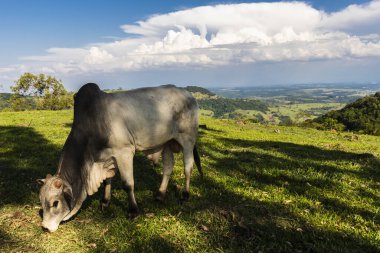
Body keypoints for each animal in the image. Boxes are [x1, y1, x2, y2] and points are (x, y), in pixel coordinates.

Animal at [37, 83, 202, 231]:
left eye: (55, 203)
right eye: (41, 202)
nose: (45, 227)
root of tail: (189, 95)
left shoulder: (125, 152)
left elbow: (128, 184)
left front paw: (133, 211)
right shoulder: (107, 158)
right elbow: (107, 180)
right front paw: (105, 202)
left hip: (188, 139)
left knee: (188, 167)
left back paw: (185, 195)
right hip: (166, 143)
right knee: (168, 167)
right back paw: (160, 195)